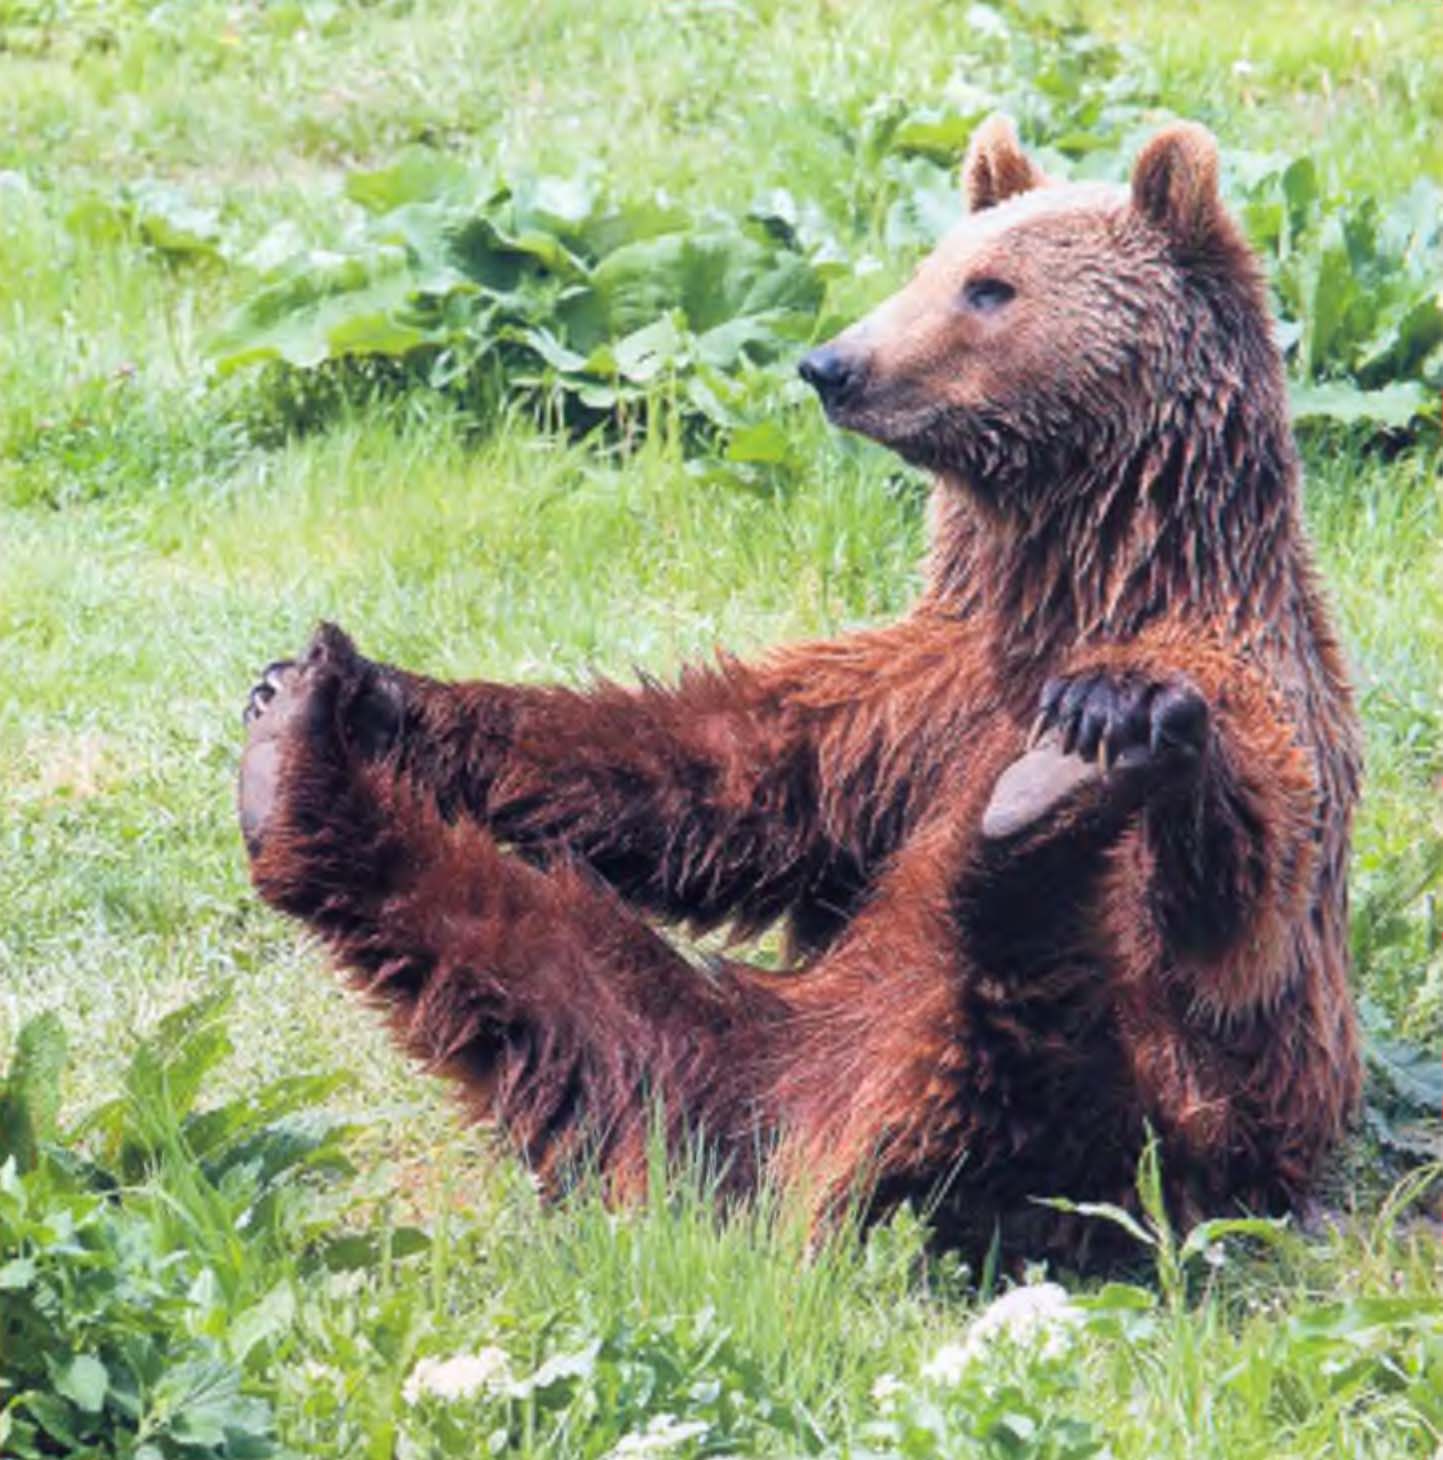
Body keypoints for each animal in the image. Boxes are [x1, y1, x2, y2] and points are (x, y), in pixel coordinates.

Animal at [236, 116, 1361, 1255]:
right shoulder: (912, 707)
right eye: (927, 267)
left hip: (1135, 1131)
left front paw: (1112, 709)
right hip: (725, 1062)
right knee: (536, 972)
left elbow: (1237, 899)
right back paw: (289, 761)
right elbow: (716, 776)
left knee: (1042, 1022)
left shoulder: (1261, 686)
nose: (832, 364)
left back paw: (1033, 808)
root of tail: (821, 1161)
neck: (1073, 585)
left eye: (989, 288)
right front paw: (359, 681)